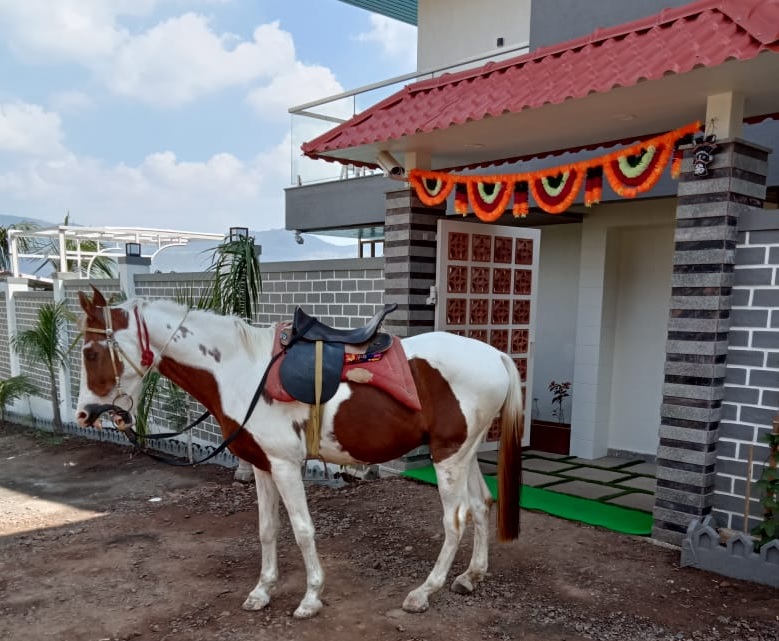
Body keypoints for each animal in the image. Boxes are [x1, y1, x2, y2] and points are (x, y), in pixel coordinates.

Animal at [76, 288, 524, 616]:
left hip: (448, 455)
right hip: (464, 451)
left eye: (91, 353)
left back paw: (424, 591)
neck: (241, 370)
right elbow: (267, 529)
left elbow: (303, 530)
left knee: (455, 519)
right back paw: (470, 576)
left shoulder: (286, 466)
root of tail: (494, 354)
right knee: (481, 505)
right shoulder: (261, 466)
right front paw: (262, 591)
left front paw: (310, 598)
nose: (84, 413)